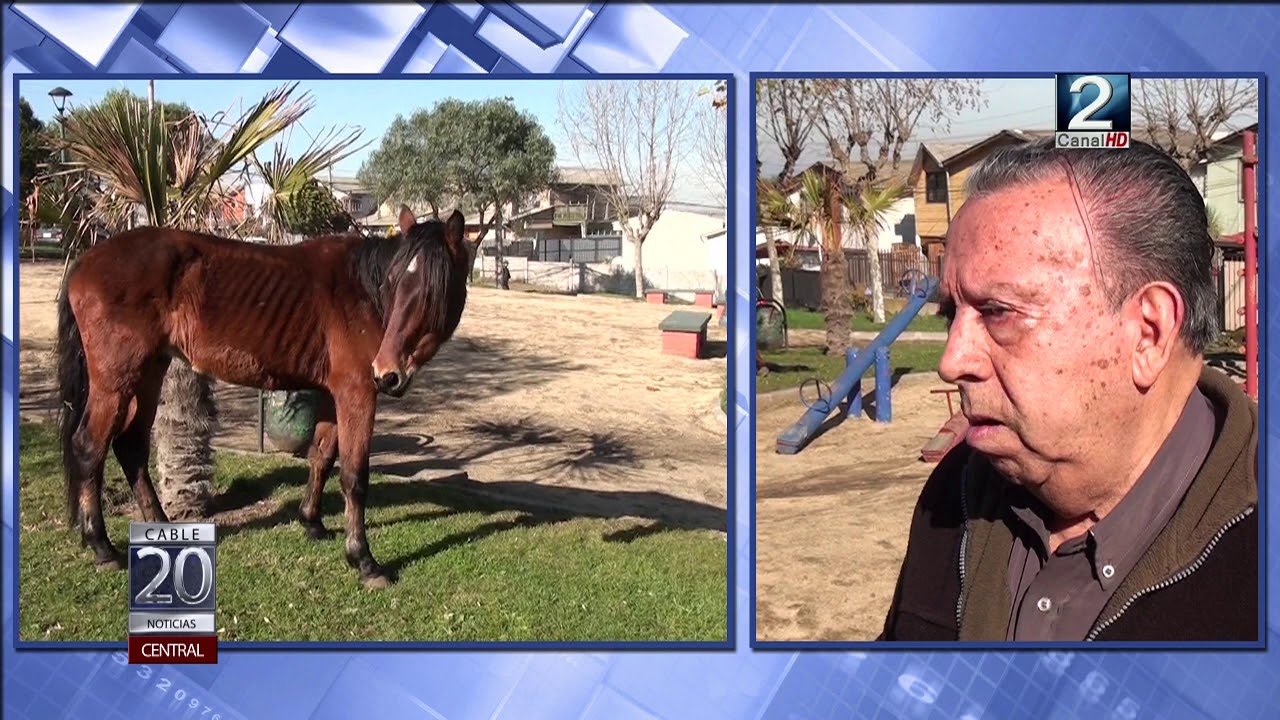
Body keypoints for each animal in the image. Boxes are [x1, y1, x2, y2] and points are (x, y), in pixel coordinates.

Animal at [56, 206, 471, 589]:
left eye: (431, 291)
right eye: (394, 282)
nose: (388, 372)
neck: (363, 294)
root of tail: (85, 262)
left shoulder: (331, 394)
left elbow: (322, 457)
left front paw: (312, 522)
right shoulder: (358, 392)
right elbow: (354, 476)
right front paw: (363, 560)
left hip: (150, 370)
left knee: (131, 447)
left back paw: (159, 528)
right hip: (117, 380)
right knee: (90, 447)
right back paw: (103, 547)